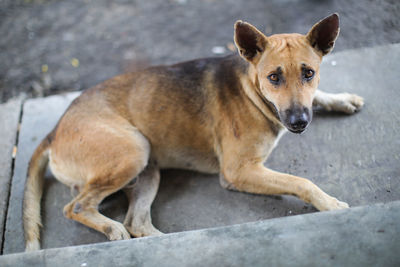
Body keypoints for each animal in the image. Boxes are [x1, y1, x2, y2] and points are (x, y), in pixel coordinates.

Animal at [23, 13, 364, 251]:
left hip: (147, 169)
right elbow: (301, 182)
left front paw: (340, 98)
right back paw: (110, 228)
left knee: (137, 222)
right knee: (77, 206)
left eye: (309, 73)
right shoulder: (238, 171)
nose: (298, 122)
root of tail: (54, 130)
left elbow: (317, 97)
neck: (251, 89)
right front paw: (330, 204)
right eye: (273, 77)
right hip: (134, 150)